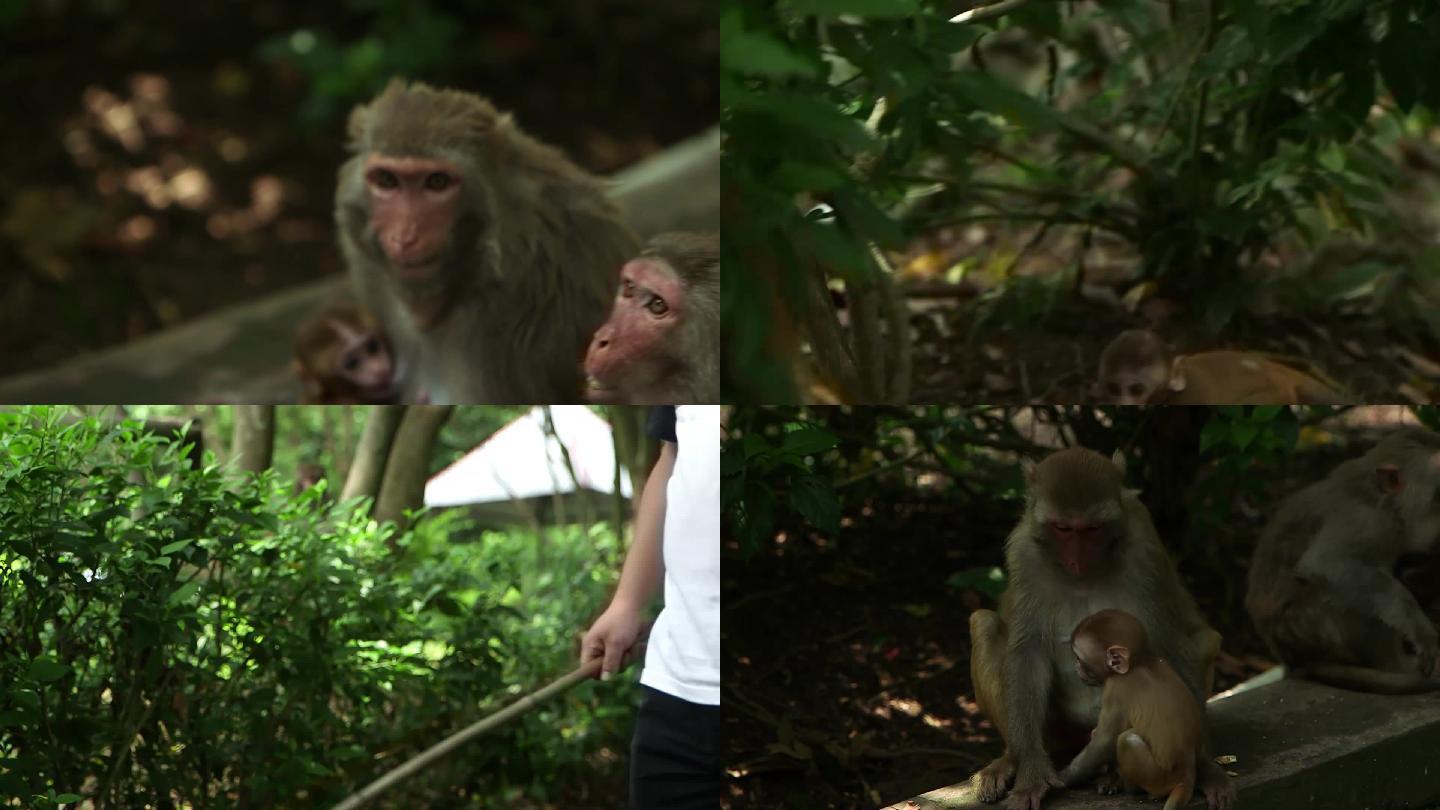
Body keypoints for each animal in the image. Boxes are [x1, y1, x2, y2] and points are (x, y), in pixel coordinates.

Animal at [1054, 608, 1221, 801]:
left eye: (1079, 658)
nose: (1076, 668)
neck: (1137, 663)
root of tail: (1187, 777)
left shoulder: (1115, 689)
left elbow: (1104, 741)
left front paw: (1063, 777)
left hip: (1159, 778)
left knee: (1127, 740)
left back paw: (1127, 786)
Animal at [1244, 426, 1440, 691]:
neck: (1381, 500)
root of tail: (1294, 661)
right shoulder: (1364, 522)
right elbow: (1325, 564)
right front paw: (1418, 625)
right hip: (1314, 629)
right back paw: (1397, 667)